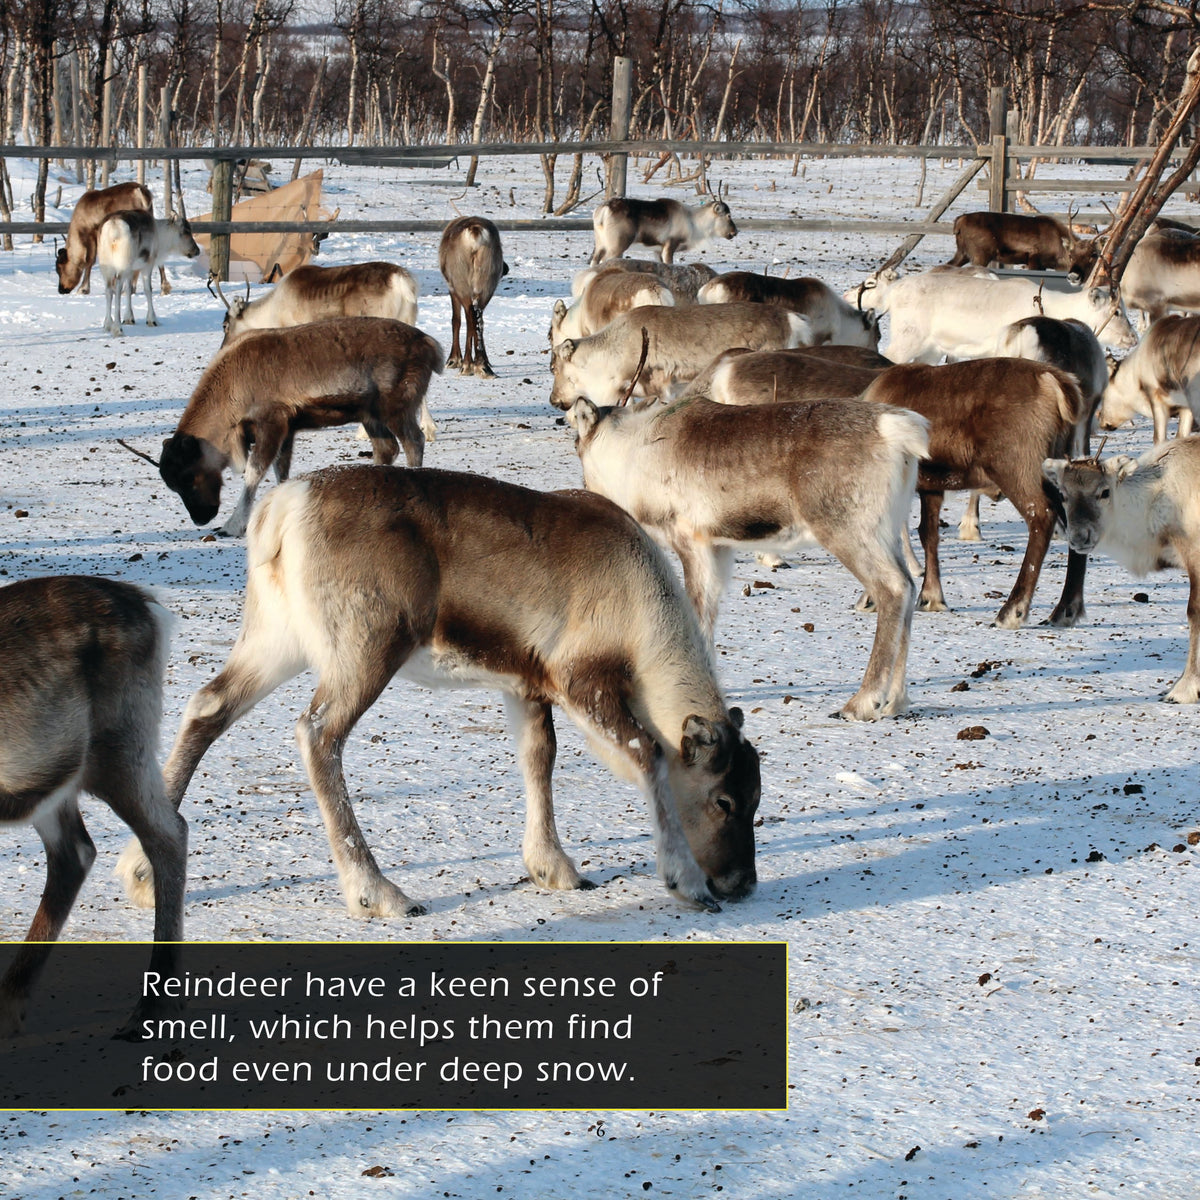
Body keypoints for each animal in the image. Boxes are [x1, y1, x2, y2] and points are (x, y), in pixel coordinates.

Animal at [0, 575, 186, 1037]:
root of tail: (149, 603)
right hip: (55, 776)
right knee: (75, 852)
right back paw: (10, 1000)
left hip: (119, 746)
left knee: (167, 835)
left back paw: (151, 1009)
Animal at [116, 464, 760, 917]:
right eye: (725, 800)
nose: (743, 884)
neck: (644, 616)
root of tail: (282, 509)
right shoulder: (580, 680)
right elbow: (646, 753)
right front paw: (686, 881)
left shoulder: (525, 685)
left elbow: (539, 758)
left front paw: (554, 868)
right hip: (366, 648)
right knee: (317, 735)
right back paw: (379, 894)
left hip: (278, 640)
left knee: (208, 705)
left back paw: (142, 873)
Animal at [439, 216, 508, 377]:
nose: (506, 269)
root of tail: (475, 231)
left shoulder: (452, 288)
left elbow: (456, 320)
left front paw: (453, 359)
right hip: (487, 280)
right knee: (478, 318)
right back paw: (483, 365)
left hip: (461, 281)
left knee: (470, 317)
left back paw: (467, 364)